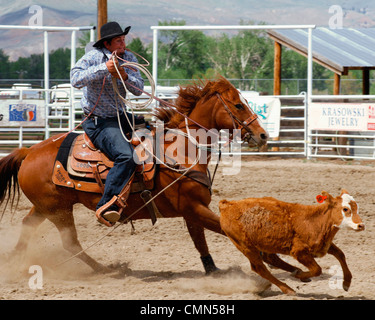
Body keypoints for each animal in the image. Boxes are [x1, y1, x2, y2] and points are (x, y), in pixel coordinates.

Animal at [0, 78, 268, 276]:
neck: (182, 150)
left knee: (28, 226)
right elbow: (225, 229)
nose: (263, 135)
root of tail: (29, 151)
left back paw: (13, 263)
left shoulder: (192, 211)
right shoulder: (193, 207)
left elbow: (200, 240)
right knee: (70, 242)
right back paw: (105, 269)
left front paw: (213, 270)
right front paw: (266, 256)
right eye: (238, 105)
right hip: (58, 210)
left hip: (46, 207)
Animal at [219, 190, 366, 296]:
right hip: (245, 246)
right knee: (260, 268)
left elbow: (340, 254)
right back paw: (288, 288)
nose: (361, 225)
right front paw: (299, 276)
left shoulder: (323, 246)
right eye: (345, 209)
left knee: (270, 258)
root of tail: (228, 204)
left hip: (265, 244)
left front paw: (346, 282)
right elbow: (317, 269)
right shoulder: (299, 252)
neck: (314, 221)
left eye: (357, 207)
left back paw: (295, 271)